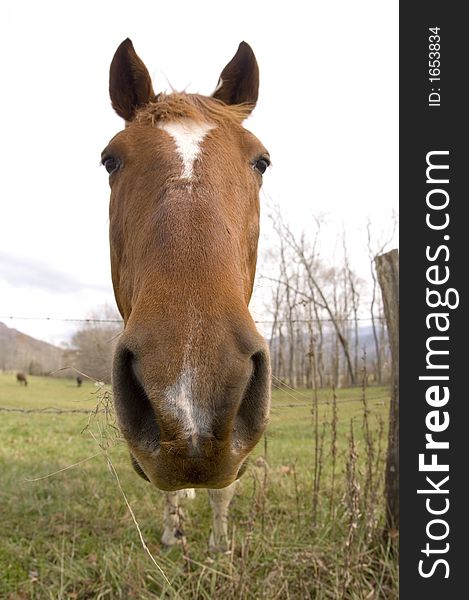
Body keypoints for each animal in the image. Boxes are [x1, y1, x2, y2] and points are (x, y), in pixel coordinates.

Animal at [103, 39, 268, 552]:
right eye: (110, 160)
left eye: (261, 161)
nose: (191, 391)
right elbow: (167, 486)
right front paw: (172, 531)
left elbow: (226, 486)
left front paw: (219, 544)